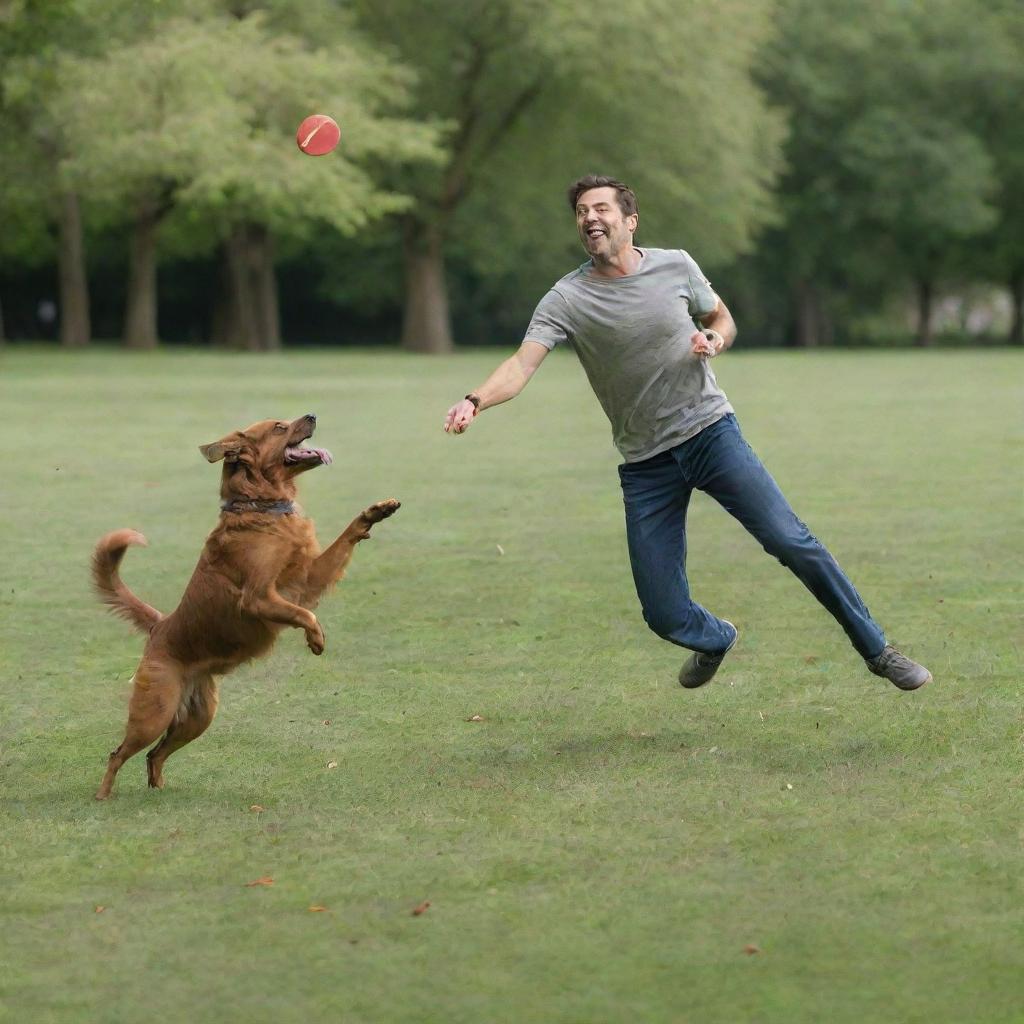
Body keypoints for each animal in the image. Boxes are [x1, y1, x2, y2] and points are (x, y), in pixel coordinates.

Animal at [91, 413, 399, 798]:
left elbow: (346, 537)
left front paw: (376, 512)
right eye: (280, 427)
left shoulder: (308, 579)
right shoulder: (260, 597)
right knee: (118, 754)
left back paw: (158, 789)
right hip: (154, 713)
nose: (312, 415)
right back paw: (103, 797)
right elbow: (305, 614)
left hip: (198, 718)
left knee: (154, 755)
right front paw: (315, 638)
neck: (263, 508)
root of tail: (160, 625)